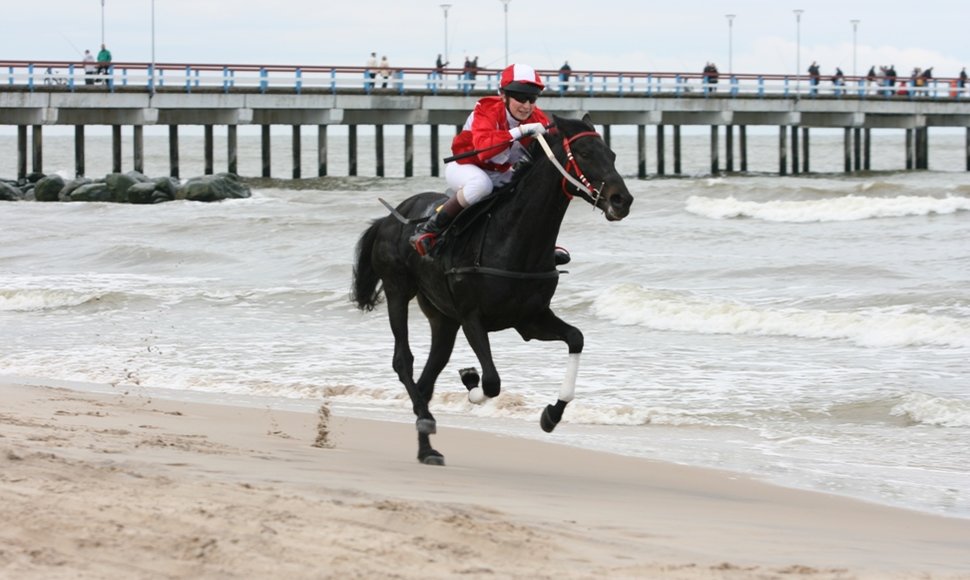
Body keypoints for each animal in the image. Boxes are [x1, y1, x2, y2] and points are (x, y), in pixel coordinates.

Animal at [352, 115, 632, 464]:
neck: (514, 238)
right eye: (583, 153)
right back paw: (426, 420)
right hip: (397, 290)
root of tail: (388, 219)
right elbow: (491, 382)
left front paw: (551, 414)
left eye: (612, 155)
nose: (622, 200)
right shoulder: (472, 317)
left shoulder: (530, 319)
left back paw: (427, 449)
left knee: (429, 375)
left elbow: (576, 338)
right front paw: (470, 377)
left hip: (442, 317)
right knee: (404, 361)